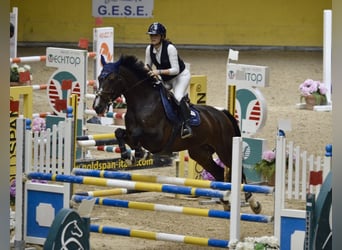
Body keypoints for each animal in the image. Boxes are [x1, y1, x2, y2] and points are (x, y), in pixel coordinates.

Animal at [92, 54, 260, 213]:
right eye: (100, 78)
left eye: (111, 79)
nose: (97, 107)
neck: (143, 102)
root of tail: (222, 114)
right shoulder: (132, 133)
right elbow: (119, 132)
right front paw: (129, 156)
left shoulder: (157, 139)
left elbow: (137, 136)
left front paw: (139, 154)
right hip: (200, 153)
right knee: (218, 173)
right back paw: (225, 202)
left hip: (225, 149)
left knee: (239, 173)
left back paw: (253, 204)